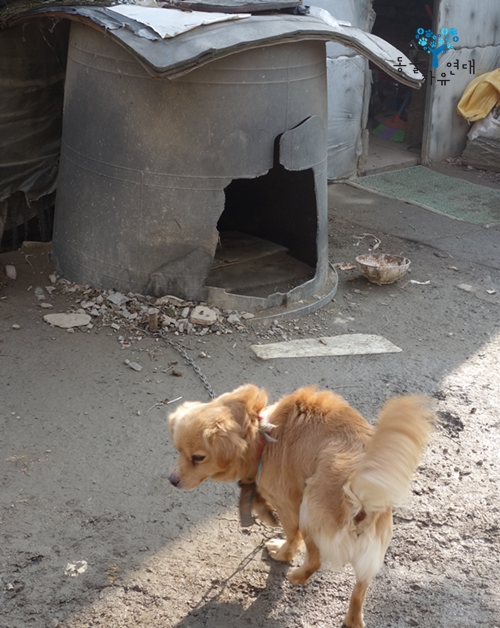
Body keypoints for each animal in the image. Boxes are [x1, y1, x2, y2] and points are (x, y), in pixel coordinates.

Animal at [168, 382, 434, 628]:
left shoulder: (288, 504)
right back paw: (352, 619)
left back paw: (296, 575)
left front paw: (281, 549)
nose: (172, 480)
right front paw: (262, 508)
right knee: (359, 593)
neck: (263, 433)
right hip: (370, 556)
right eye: (178, 450)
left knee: (314, 560)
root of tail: (361, 504)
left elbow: (290, 535)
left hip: (308, 510)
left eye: (198, 457)